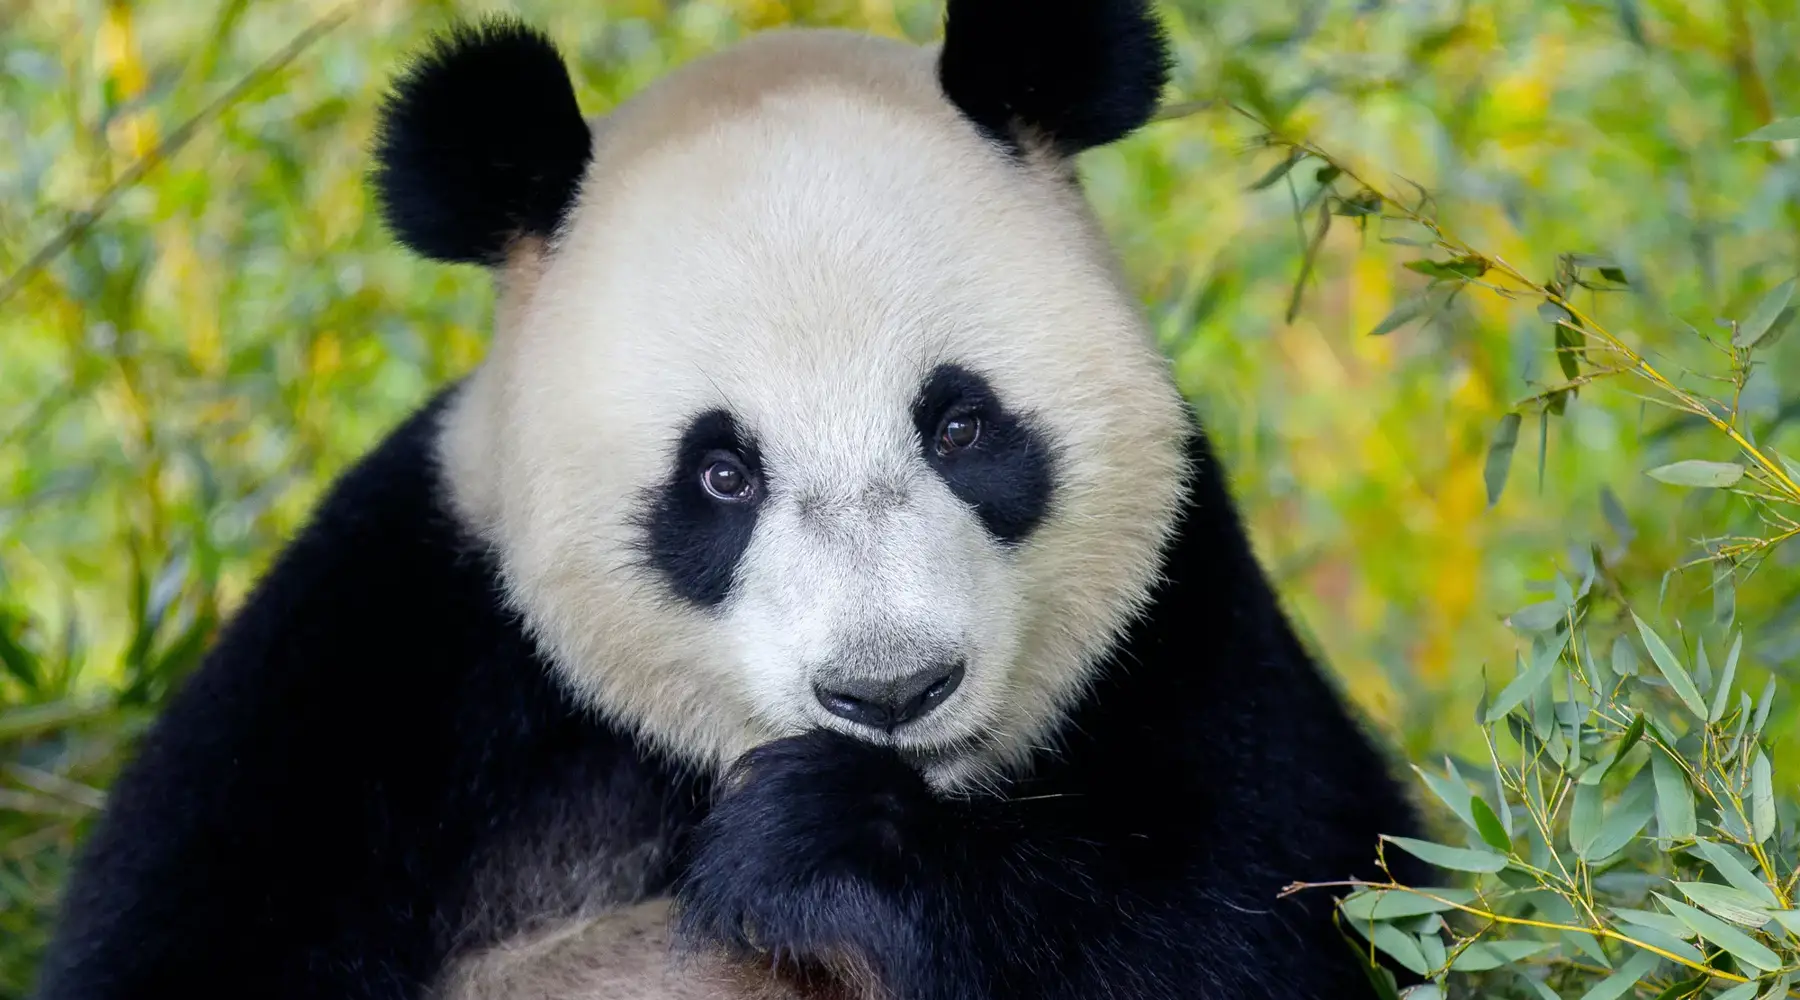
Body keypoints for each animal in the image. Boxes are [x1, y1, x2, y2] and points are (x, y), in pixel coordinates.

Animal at [33, 2, 1424, 999]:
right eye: (721, 474)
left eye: (960, 425)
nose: (890, 692)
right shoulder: (390, 655)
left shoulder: (1190, 625)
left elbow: (1275, 919)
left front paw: (820, 846)